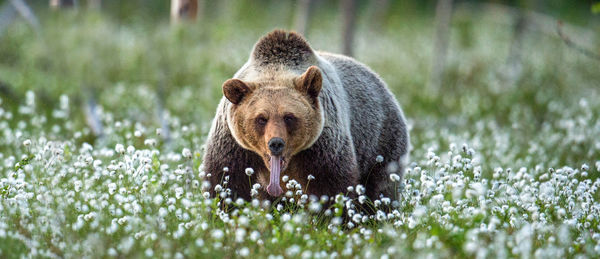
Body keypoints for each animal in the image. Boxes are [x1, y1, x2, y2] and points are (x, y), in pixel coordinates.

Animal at [204, 30, 410, 203]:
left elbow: (331, 187)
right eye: (261, 118)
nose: (276, 143)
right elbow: (226, 182)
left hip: (379, 141)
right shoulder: (234, 146)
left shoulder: (322, 147)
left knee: (380, 188)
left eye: (289, 117)